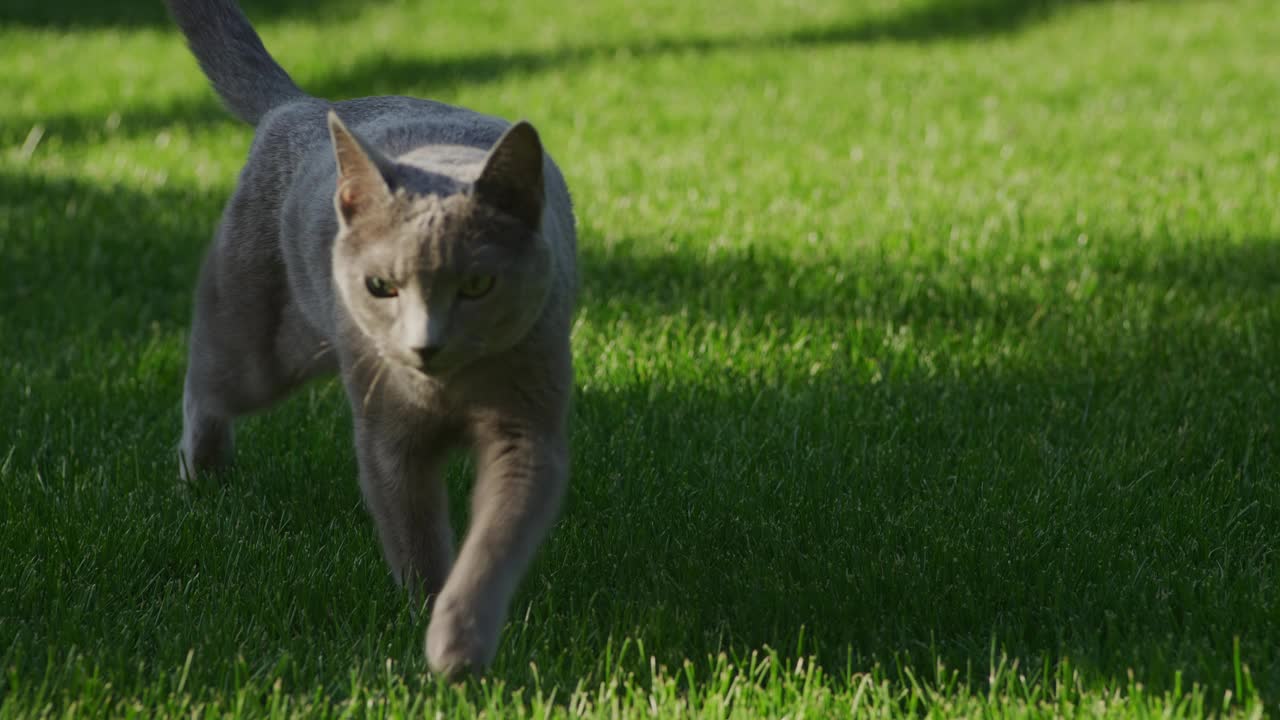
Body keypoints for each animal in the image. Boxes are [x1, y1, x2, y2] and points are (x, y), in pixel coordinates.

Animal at [167, 0, 578, 676]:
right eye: (381, 285)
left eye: (478, 284)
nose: (424, 344)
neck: (445, 392)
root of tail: (303, 104)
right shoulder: (389, 437)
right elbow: (414, 538)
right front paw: (428, 623)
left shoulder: (527, 427)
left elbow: (498, 536)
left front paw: (459, 644)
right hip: (267, 347)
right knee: (207, 383)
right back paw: (204, 474)